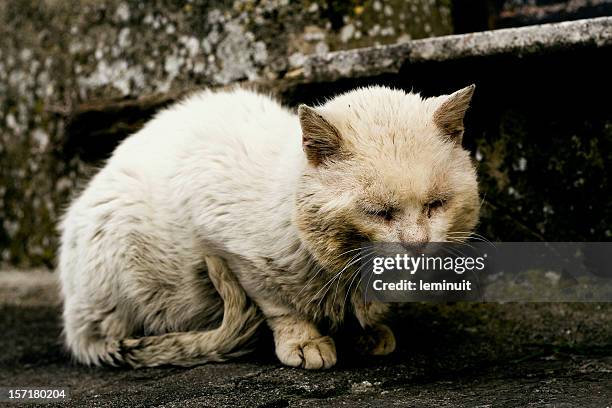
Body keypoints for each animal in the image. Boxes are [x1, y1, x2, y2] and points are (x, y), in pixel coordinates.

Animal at [58, 83, 478, 370]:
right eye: (379, 212)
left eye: (435, 205)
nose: (418, 244)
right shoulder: (233, 251)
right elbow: (279, 305)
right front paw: (305, 343)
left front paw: (368, 330)